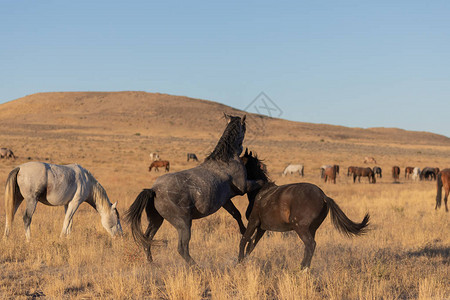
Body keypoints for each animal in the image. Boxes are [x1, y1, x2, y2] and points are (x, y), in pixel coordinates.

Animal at [124, 115, 264, 264]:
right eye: (244, 125)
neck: (226, 159)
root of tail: (153, 190)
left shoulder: (225, 201)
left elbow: (236, 214)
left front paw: (246, 234)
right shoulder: (243, 187)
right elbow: (259, 183)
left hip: (156, 220)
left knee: (147, 240)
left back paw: (152, 263)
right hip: (183, 224)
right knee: (182, 248)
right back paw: (196, 266)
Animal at [239, 150, 370, 270]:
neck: (260, 192)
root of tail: (323, 196)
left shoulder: (253, 222)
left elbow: (244, 240)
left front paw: (239, 262)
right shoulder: (262, 228)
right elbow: (251, 245)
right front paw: (245, 261)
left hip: (300, 227)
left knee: (311, 244)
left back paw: (302, 268)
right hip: (312, 228)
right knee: (309, 246)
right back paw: (305, 268)